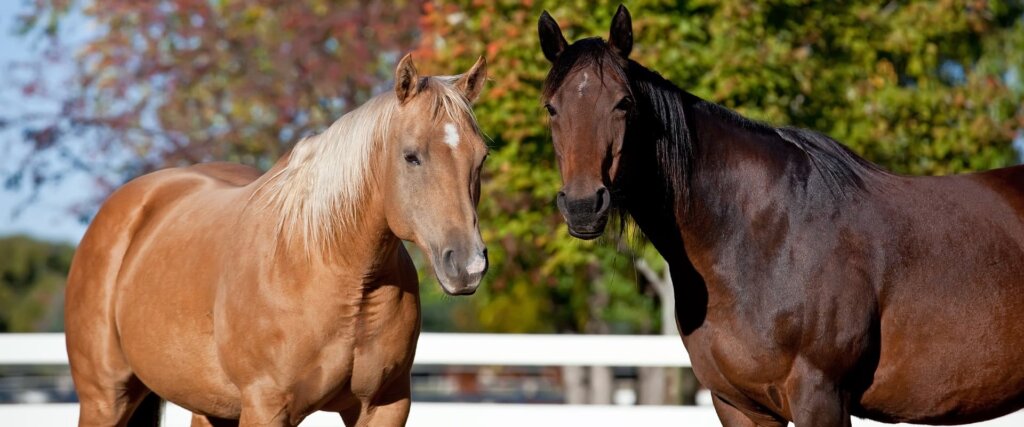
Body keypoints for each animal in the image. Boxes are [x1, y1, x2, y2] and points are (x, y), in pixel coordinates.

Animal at [64, 54, 490, 427]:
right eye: (410, 156)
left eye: (481, 157)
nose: (468, 265)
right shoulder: (266, 405)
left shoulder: (385, 406)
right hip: (105, 399)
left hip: (211, 405)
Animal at [539, 6, 1024, 426]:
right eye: (551, 107)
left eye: (623, 103)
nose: (583, 206)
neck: (760, 236)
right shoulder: (738, 405)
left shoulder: (820, 397)